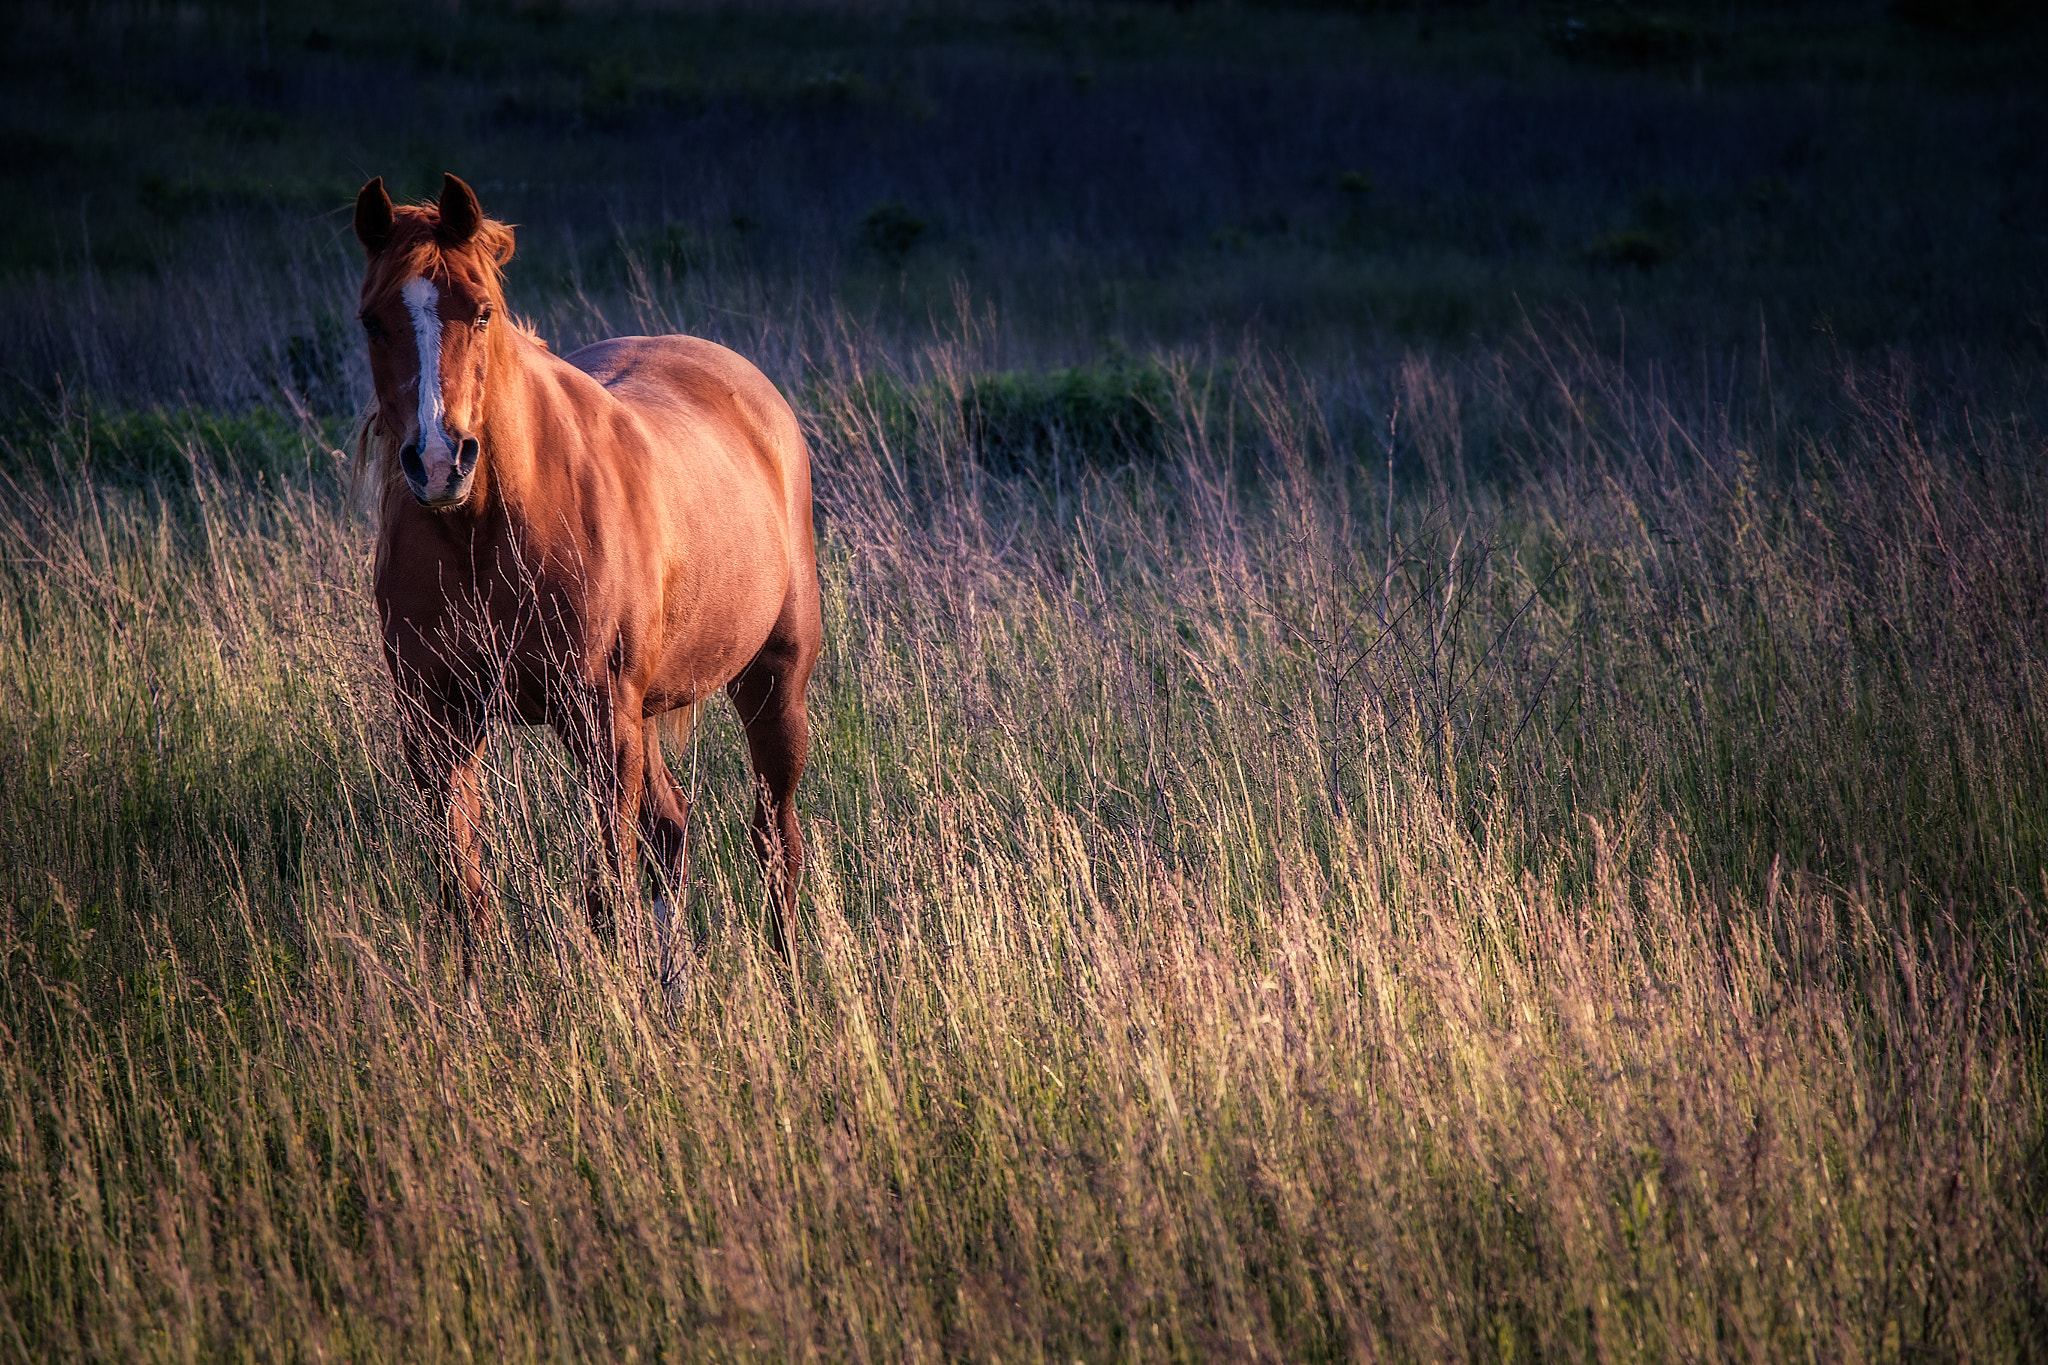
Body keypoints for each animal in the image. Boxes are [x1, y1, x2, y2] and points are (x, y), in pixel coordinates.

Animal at [354, 175, 823, 978]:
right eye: (372, 320)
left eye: (482, 310)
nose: (440, 461)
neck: (484, 531)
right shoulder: (435, 722)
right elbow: (464, 895)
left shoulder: (601, 714)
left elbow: (606, 892)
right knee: (670, 829)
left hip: (770, 686)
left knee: (774, 840)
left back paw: (788, 979)